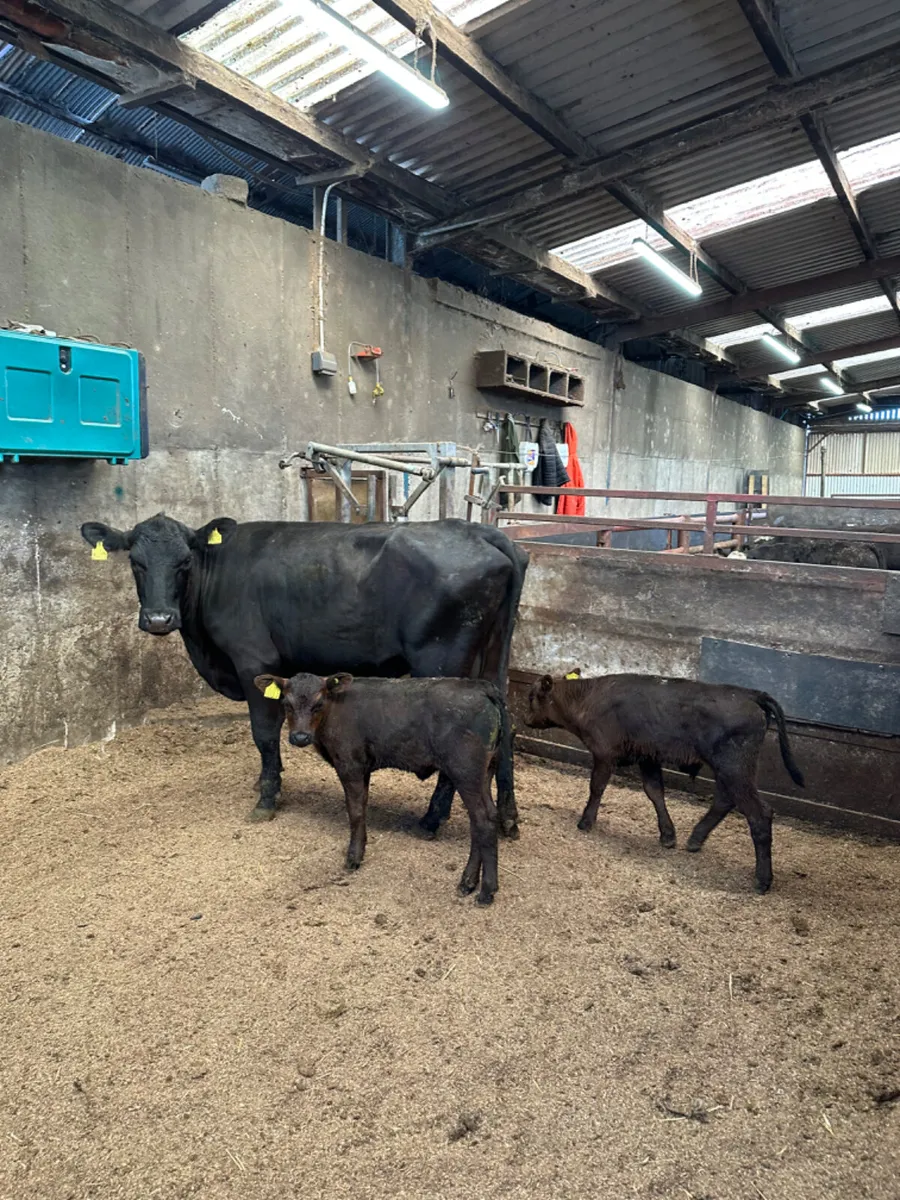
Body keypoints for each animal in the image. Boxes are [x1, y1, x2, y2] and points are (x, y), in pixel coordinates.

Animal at [80, 514, 528, 832]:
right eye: (135, 562)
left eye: (184, 561)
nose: (159, 619)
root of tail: (480, 530)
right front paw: (267, 782)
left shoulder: (253, 661)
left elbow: (263, 734)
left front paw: (266, 799)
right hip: (493, 658)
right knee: (505, 727)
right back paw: (508, 818)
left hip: (442, 663)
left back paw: (433, 818)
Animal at [255, 672, 508, 905]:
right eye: (287, 704)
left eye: (318, 704)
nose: (300, 737)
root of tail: (481, 686)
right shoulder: (364, 767)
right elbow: (362, 806)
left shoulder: (350, 765)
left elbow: (356, 812)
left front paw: (354, 857)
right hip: (485, 771)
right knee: (485, 818)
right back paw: (468, 883)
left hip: (466, 771)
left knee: (483, 821)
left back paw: (486, 891)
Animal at [524, 673, 805, 893]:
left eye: (531, 697)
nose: (526, 720)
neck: (586, 698)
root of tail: (750, 694)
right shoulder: (648, 757)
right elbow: (654, 792)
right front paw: (668, 835)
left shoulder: (604, 754)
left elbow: (597, 787)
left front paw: (585, 821)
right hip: (729, 769)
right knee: (725, 800)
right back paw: (696, 839)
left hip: (734, 768)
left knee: (758, 813)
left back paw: (762, 880)